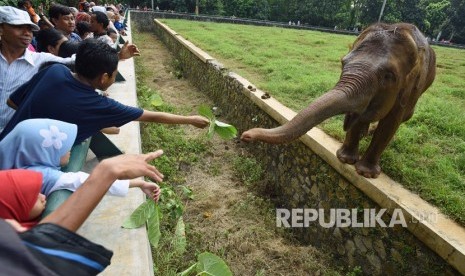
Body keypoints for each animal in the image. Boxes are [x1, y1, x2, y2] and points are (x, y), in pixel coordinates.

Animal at [239, 23, 436, 179]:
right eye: (342, 62)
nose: (245, 135)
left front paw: (365, 173)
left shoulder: (410, 89)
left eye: (389, 76)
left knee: (404, 116)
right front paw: (345, 159)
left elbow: (391, 122)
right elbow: (359, 116)